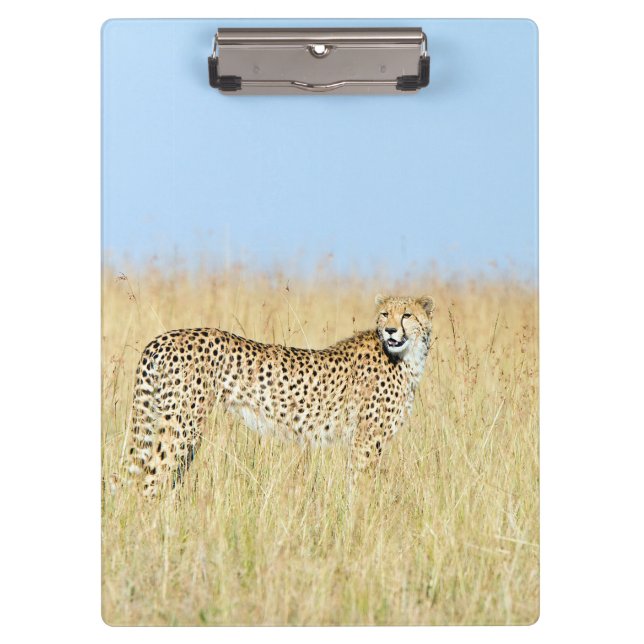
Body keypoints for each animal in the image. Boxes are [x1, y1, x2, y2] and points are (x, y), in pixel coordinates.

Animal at [120, 294, 435, 496]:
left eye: (407, 315)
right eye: (385, 314)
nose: (391, 330)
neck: (406, 356)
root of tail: (163, 338)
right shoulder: (367, 439)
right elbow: (361, 485)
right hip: (182, 425)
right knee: (149, 479)